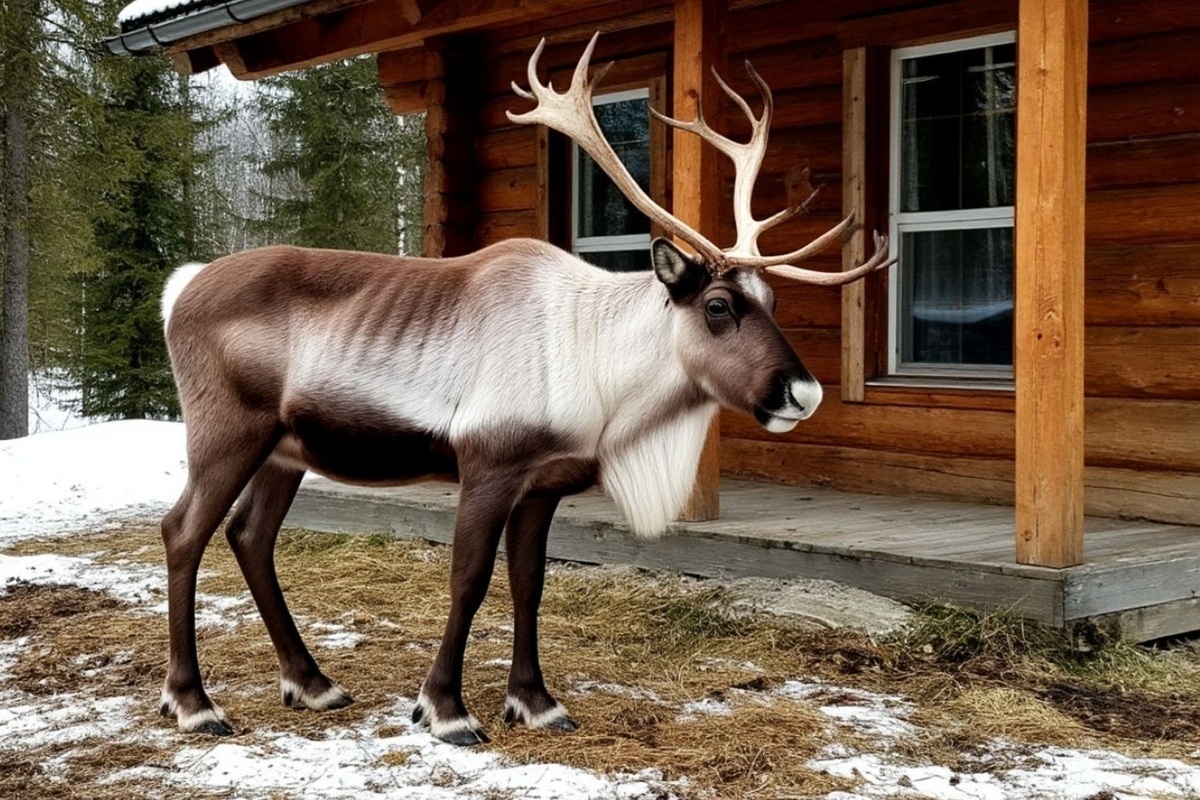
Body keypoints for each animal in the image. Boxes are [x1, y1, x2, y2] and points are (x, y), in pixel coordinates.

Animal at [156, 32, 894, 746]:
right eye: (718, 306)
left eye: (771, 299)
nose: (804, 391)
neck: (598, 368)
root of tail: (178, 290)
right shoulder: (489, 464)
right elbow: (469, 579)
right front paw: (446, 709)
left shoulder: (545, 483)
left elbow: (529, 584)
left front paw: (536, 702)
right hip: (228, 431)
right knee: (183, 530)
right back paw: (193, 703)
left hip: (285, 449)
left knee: (250, 536)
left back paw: (312, 684)